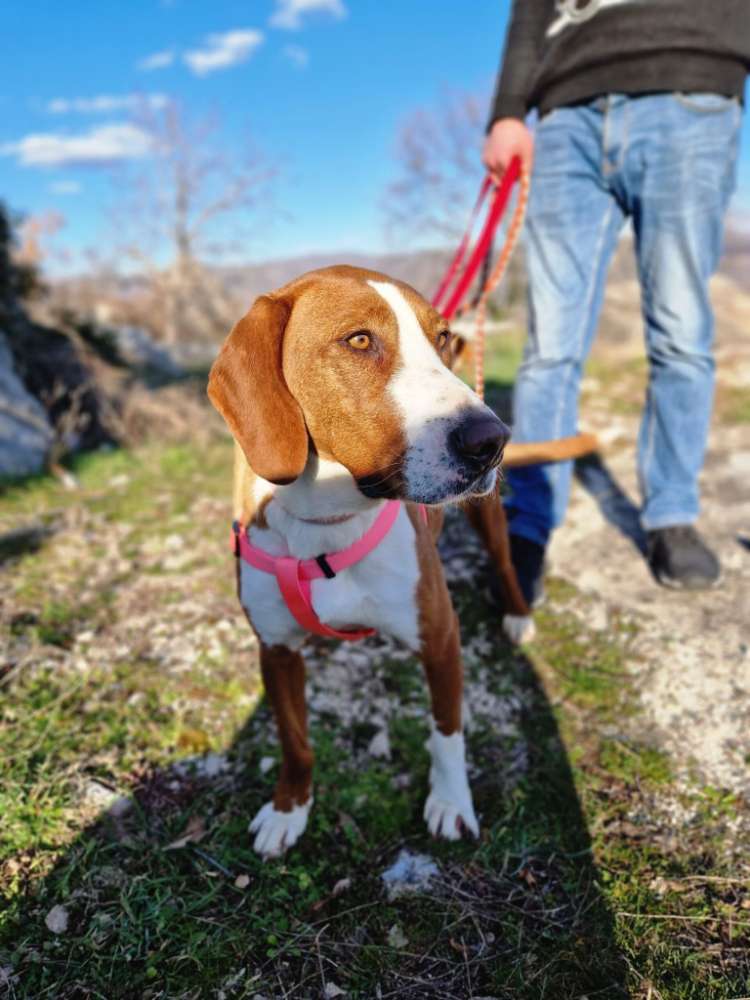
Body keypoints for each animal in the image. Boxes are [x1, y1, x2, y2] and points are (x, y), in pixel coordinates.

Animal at [209, 266, 520, 860]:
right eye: (358, 340)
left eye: (441, 339)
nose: (491, 440)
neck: (326, 522)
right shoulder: (276, 651)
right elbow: (295, 743)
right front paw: (290, 809)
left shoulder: (440, 635)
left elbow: (447, 732)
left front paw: (451, 802)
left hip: (488, 516)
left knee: (506, 562)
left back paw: (518, 614)